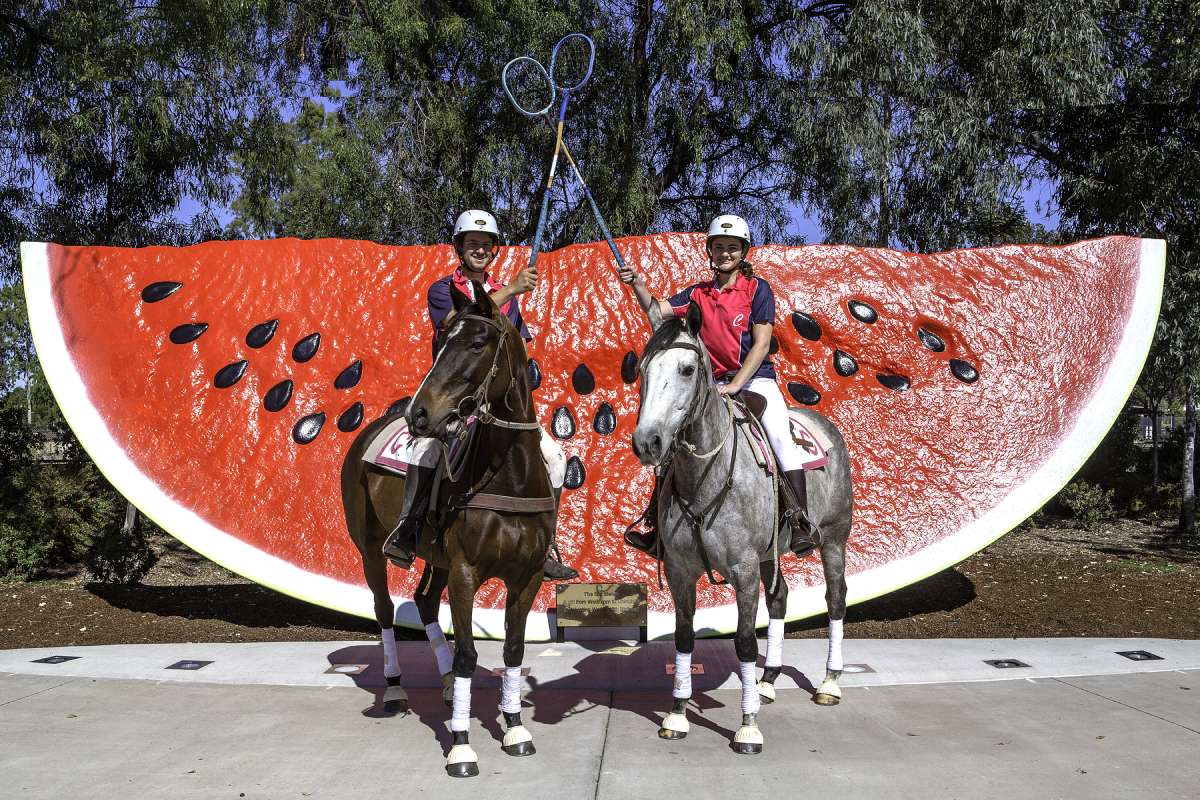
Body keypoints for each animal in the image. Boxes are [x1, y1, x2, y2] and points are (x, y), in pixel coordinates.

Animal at [340, 280, 554, 777]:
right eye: (439, 342)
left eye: (477, 344)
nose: (420, 415)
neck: (510, 477)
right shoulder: (464, 572)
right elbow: (469, 654)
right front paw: (460, 745)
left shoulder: (528, 575)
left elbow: (513, 649)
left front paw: (515, 727)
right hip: (371, 548)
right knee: (384, 610)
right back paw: (396, 687)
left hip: (434, 557)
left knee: (422, 601)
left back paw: (442, 683)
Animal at [628, 303, 854, 753]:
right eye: (642, 369)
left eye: (686, 369)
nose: (648, 442)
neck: (705, 476)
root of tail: (822, 421)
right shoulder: (681, 572)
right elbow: (683, 638)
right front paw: (677, 715)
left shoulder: (744, 571)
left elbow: (746, 641)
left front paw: (747, 726)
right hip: (770, 553)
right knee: (780, 598)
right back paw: (767, 681)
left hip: (834, 540)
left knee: (836, 598)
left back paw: (829, 682)